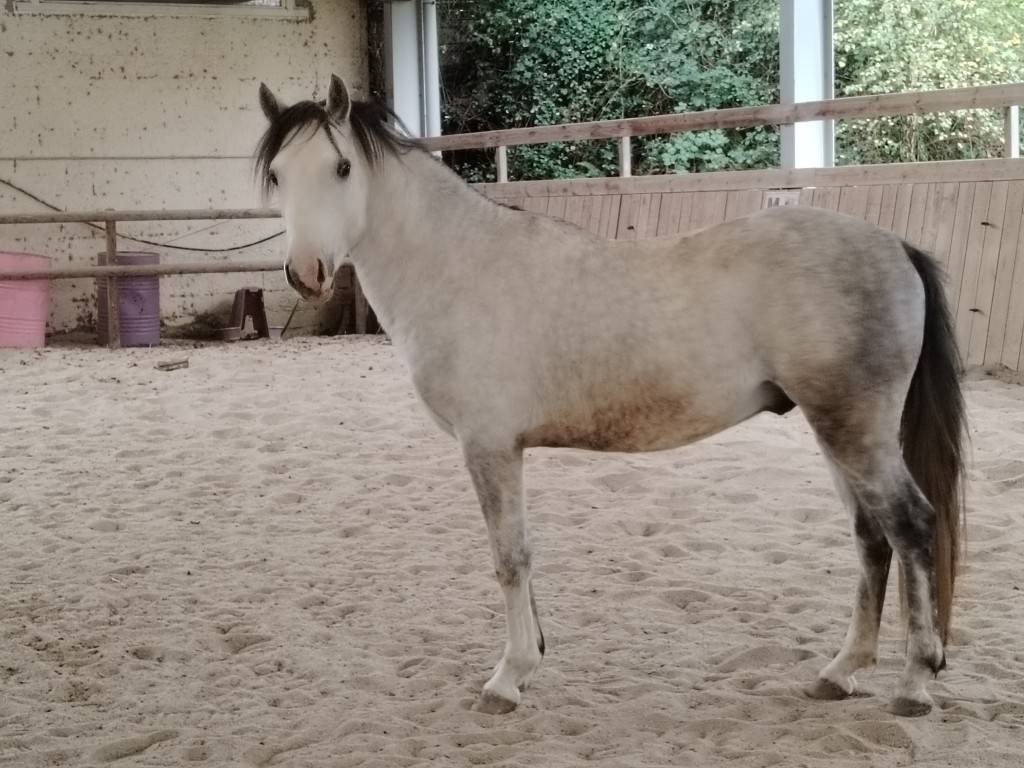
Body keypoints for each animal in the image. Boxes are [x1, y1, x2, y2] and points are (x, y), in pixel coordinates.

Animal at [254, 75, 966, 718]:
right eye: (279, 176)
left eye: (342, 167)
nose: (306, 274)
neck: (459, 268)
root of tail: (895, 246)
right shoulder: (505, 450)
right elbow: (520, 554)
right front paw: (532, 657)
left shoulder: (488, 447)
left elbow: (509, 556)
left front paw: (507, 680)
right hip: (836, 433)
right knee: (872, 537)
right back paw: (841, 672)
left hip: (855, 430)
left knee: (910, 526)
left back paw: (914, 683)